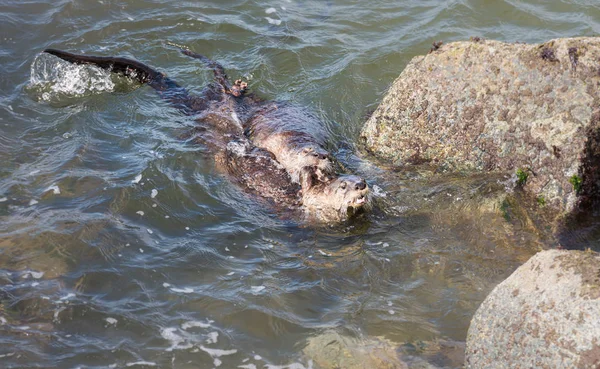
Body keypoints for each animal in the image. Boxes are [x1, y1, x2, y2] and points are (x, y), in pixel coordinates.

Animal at [42, 48, 370, 221]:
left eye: (327, 155)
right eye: (343, 188)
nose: (323, 157)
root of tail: (207, 103)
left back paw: (235, 86)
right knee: (219, 86)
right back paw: (232, 88)